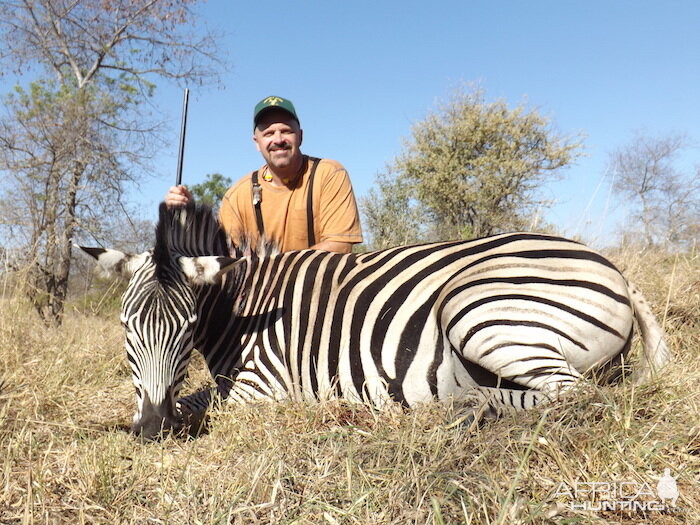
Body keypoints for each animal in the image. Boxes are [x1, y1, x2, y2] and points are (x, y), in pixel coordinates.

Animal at [78, 203, 668, 440]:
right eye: (127, 331)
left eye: (184, 330)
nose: (150, 430)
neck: (243, 306)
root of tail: (611, 266)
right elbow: (187, 398)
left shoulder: (263, 389)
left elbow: (200, 405)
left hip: (479, 309)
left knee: (576, 397)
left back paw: (463, 409)